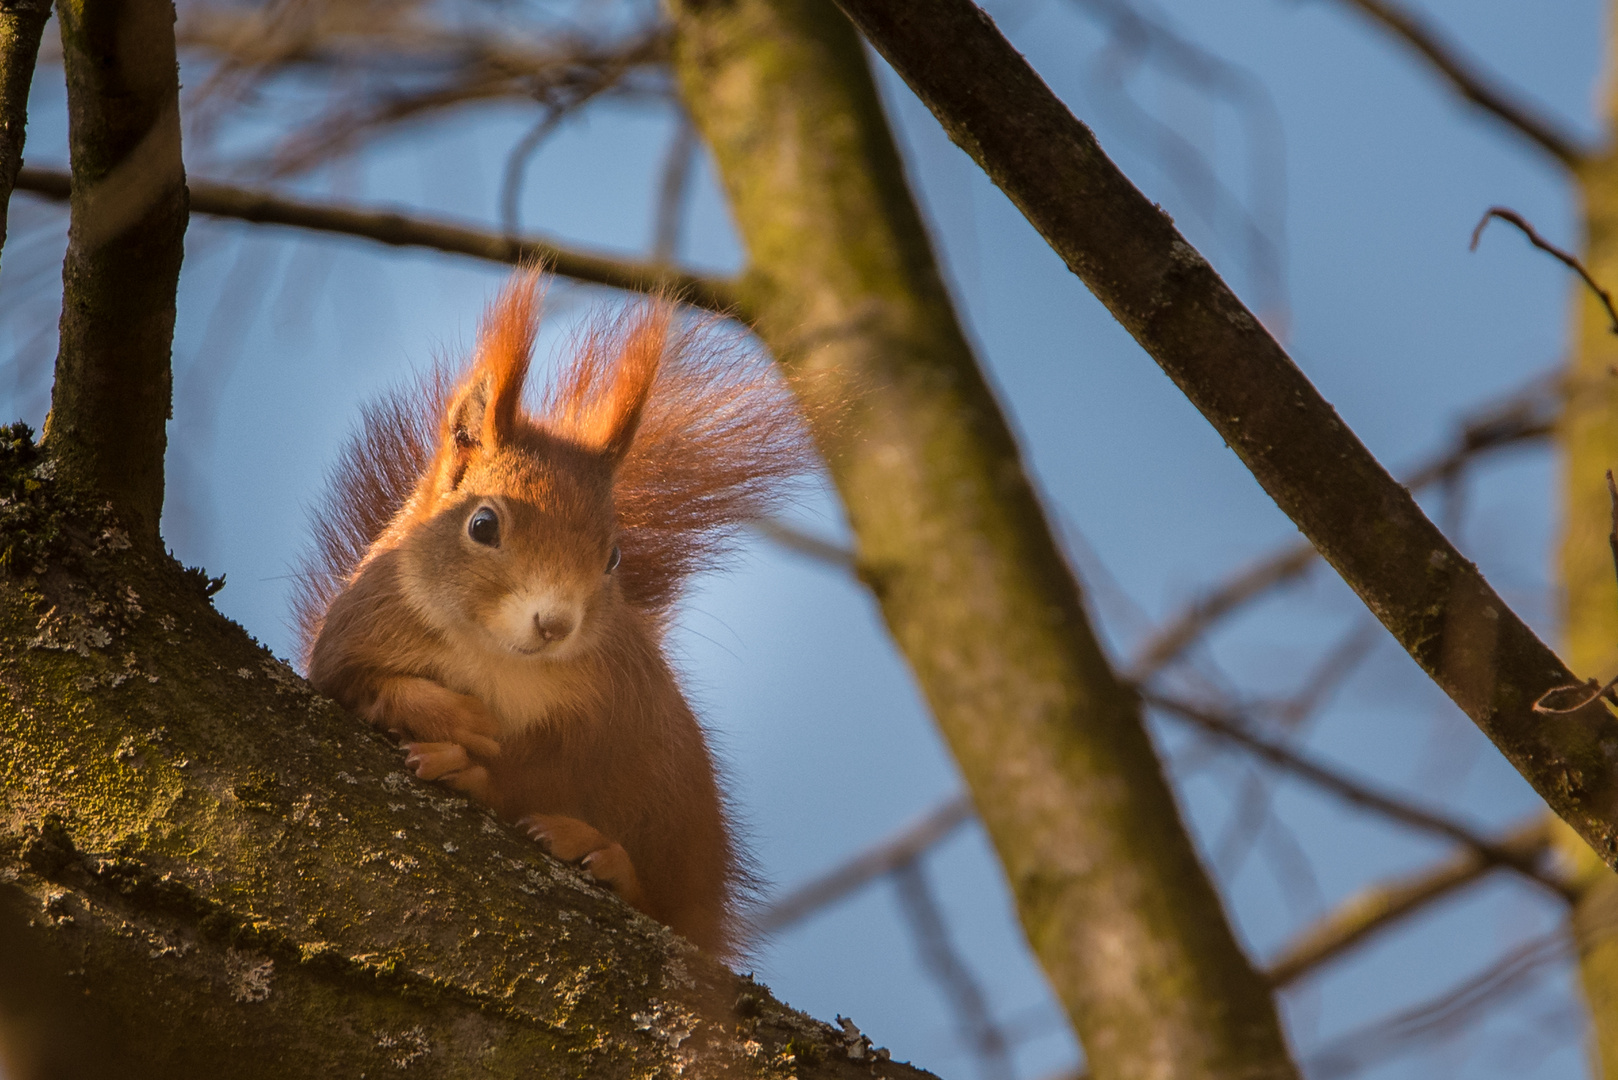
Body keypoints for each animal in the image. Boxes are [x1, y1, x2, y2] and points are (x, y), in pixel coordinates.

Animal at [294, 272, 809, 952]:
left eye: (614, 556)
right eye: (483, 525)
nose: (556, 623)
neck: (494, 656)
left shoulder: (610, 714)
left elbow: (536, 773)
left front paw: (473, 767)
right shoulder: (351, 636)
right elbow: (359, 685)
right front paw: (453, 719)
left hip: (677, 801)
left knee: (672, 905)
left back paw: (603, 858)